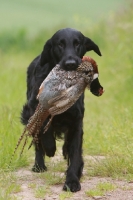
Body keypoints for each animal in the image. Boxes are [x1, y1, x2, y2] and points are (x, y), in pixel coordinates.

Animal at [21, 28, 101, 192]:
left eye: (77, 43)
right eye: (60, 44)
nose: (71, 64)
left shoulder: (76, 122)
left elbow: (75, 152)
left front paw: (72, 181)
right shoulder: (35, 109)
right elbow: (45, 131)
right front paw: (50, 148)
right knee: (38, 143)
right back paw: (39, 165)